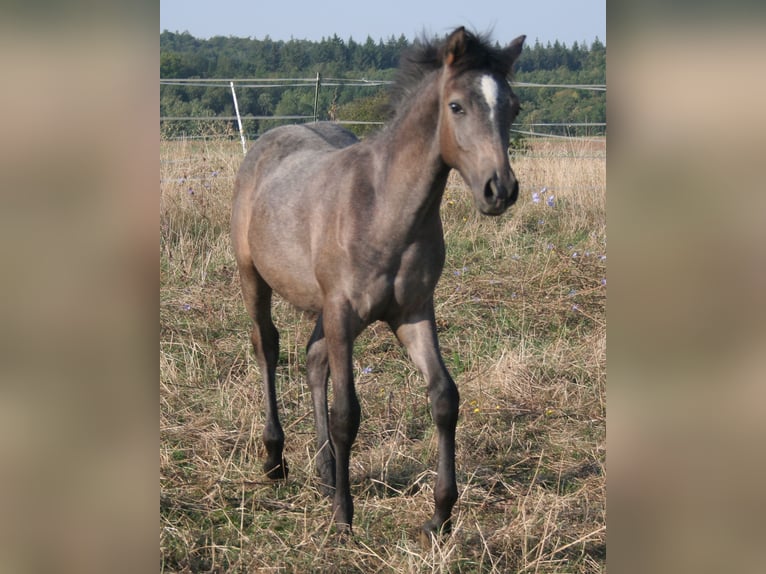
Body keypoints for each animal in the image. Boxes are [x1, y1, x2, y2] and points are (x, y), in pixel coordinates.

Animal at [231, 25, 524, 540]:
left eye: (514, 107)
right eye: (456, 106)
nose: (500, 190)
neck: (385, 209)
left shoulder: (412, 312)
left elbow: (444, 397)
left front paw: (439, 515)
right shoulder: (343, 312)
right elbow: (347, 414)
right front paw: (343, 518)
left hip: (324, 307)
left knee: (313, 360)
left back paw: (326, 472)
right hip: (255, 278)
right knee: (267, 346)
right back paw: (275, 459)